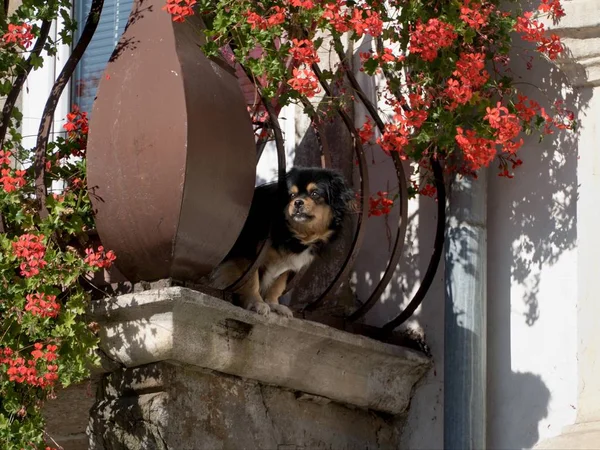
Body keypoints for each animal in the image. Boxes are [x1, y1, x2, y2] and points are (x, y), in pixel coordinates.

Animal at [209, 167, 354, 318]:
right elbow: (252, 280)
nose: (297, 202)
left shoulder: (289, 265)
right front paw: (256, 303)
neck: (292, 234)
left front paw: (274, 304)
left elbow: (278, 285)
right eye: (292, 195)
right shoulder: (249, 253)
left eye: (314, 193)